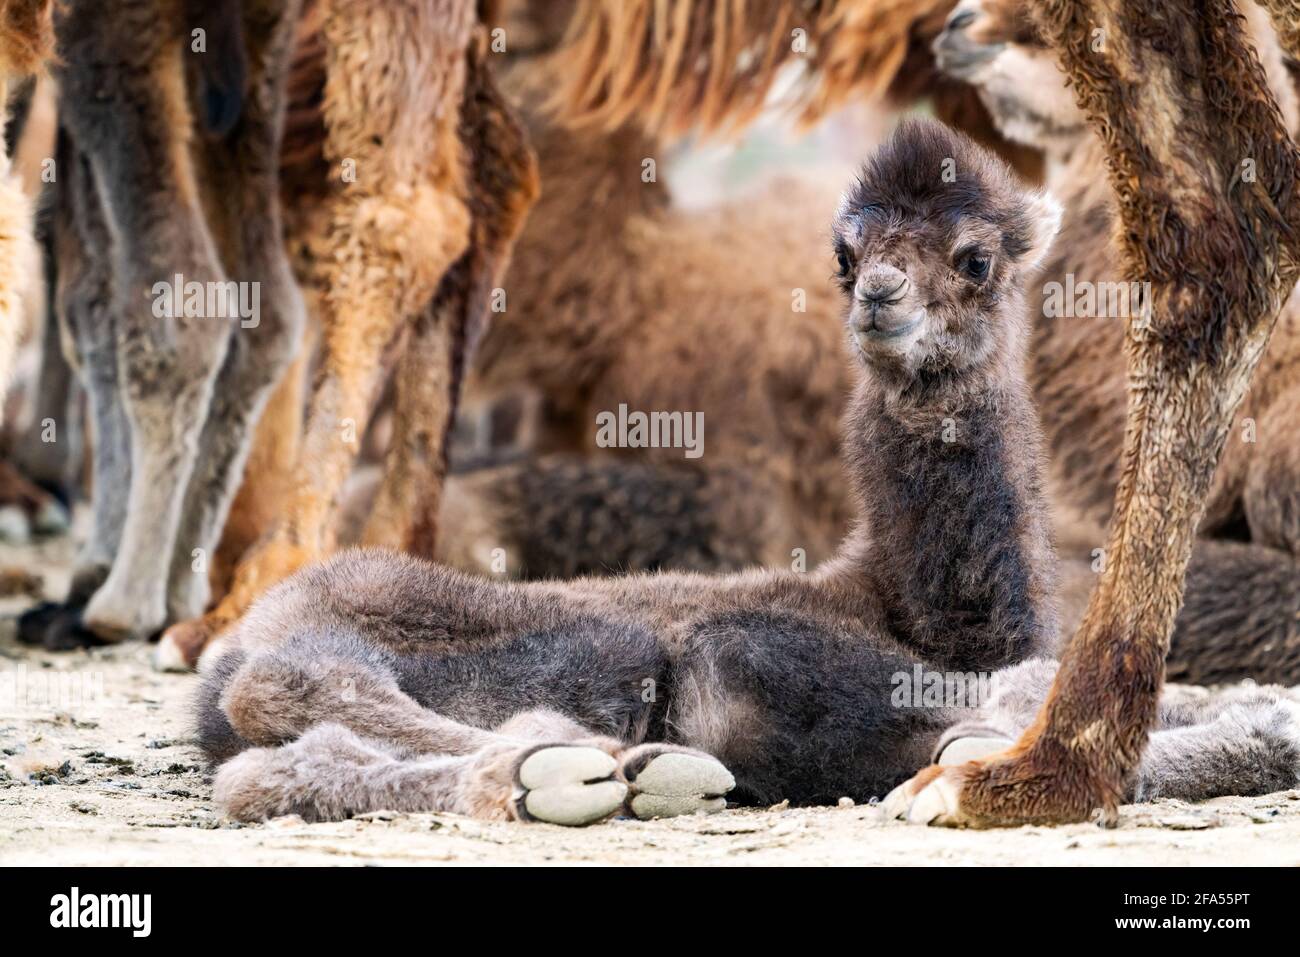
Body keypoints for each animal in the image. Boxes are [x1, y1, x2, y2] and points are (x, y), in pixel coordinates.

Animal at [195, 119, 1300, 821]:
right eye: (846, 254)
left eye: (975, 257)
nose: (882, 295)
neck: (912, 608)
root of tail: (231, 639)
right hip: (432, 619)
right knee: (299, 688)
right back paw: (573, 765)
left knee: (272, 759)